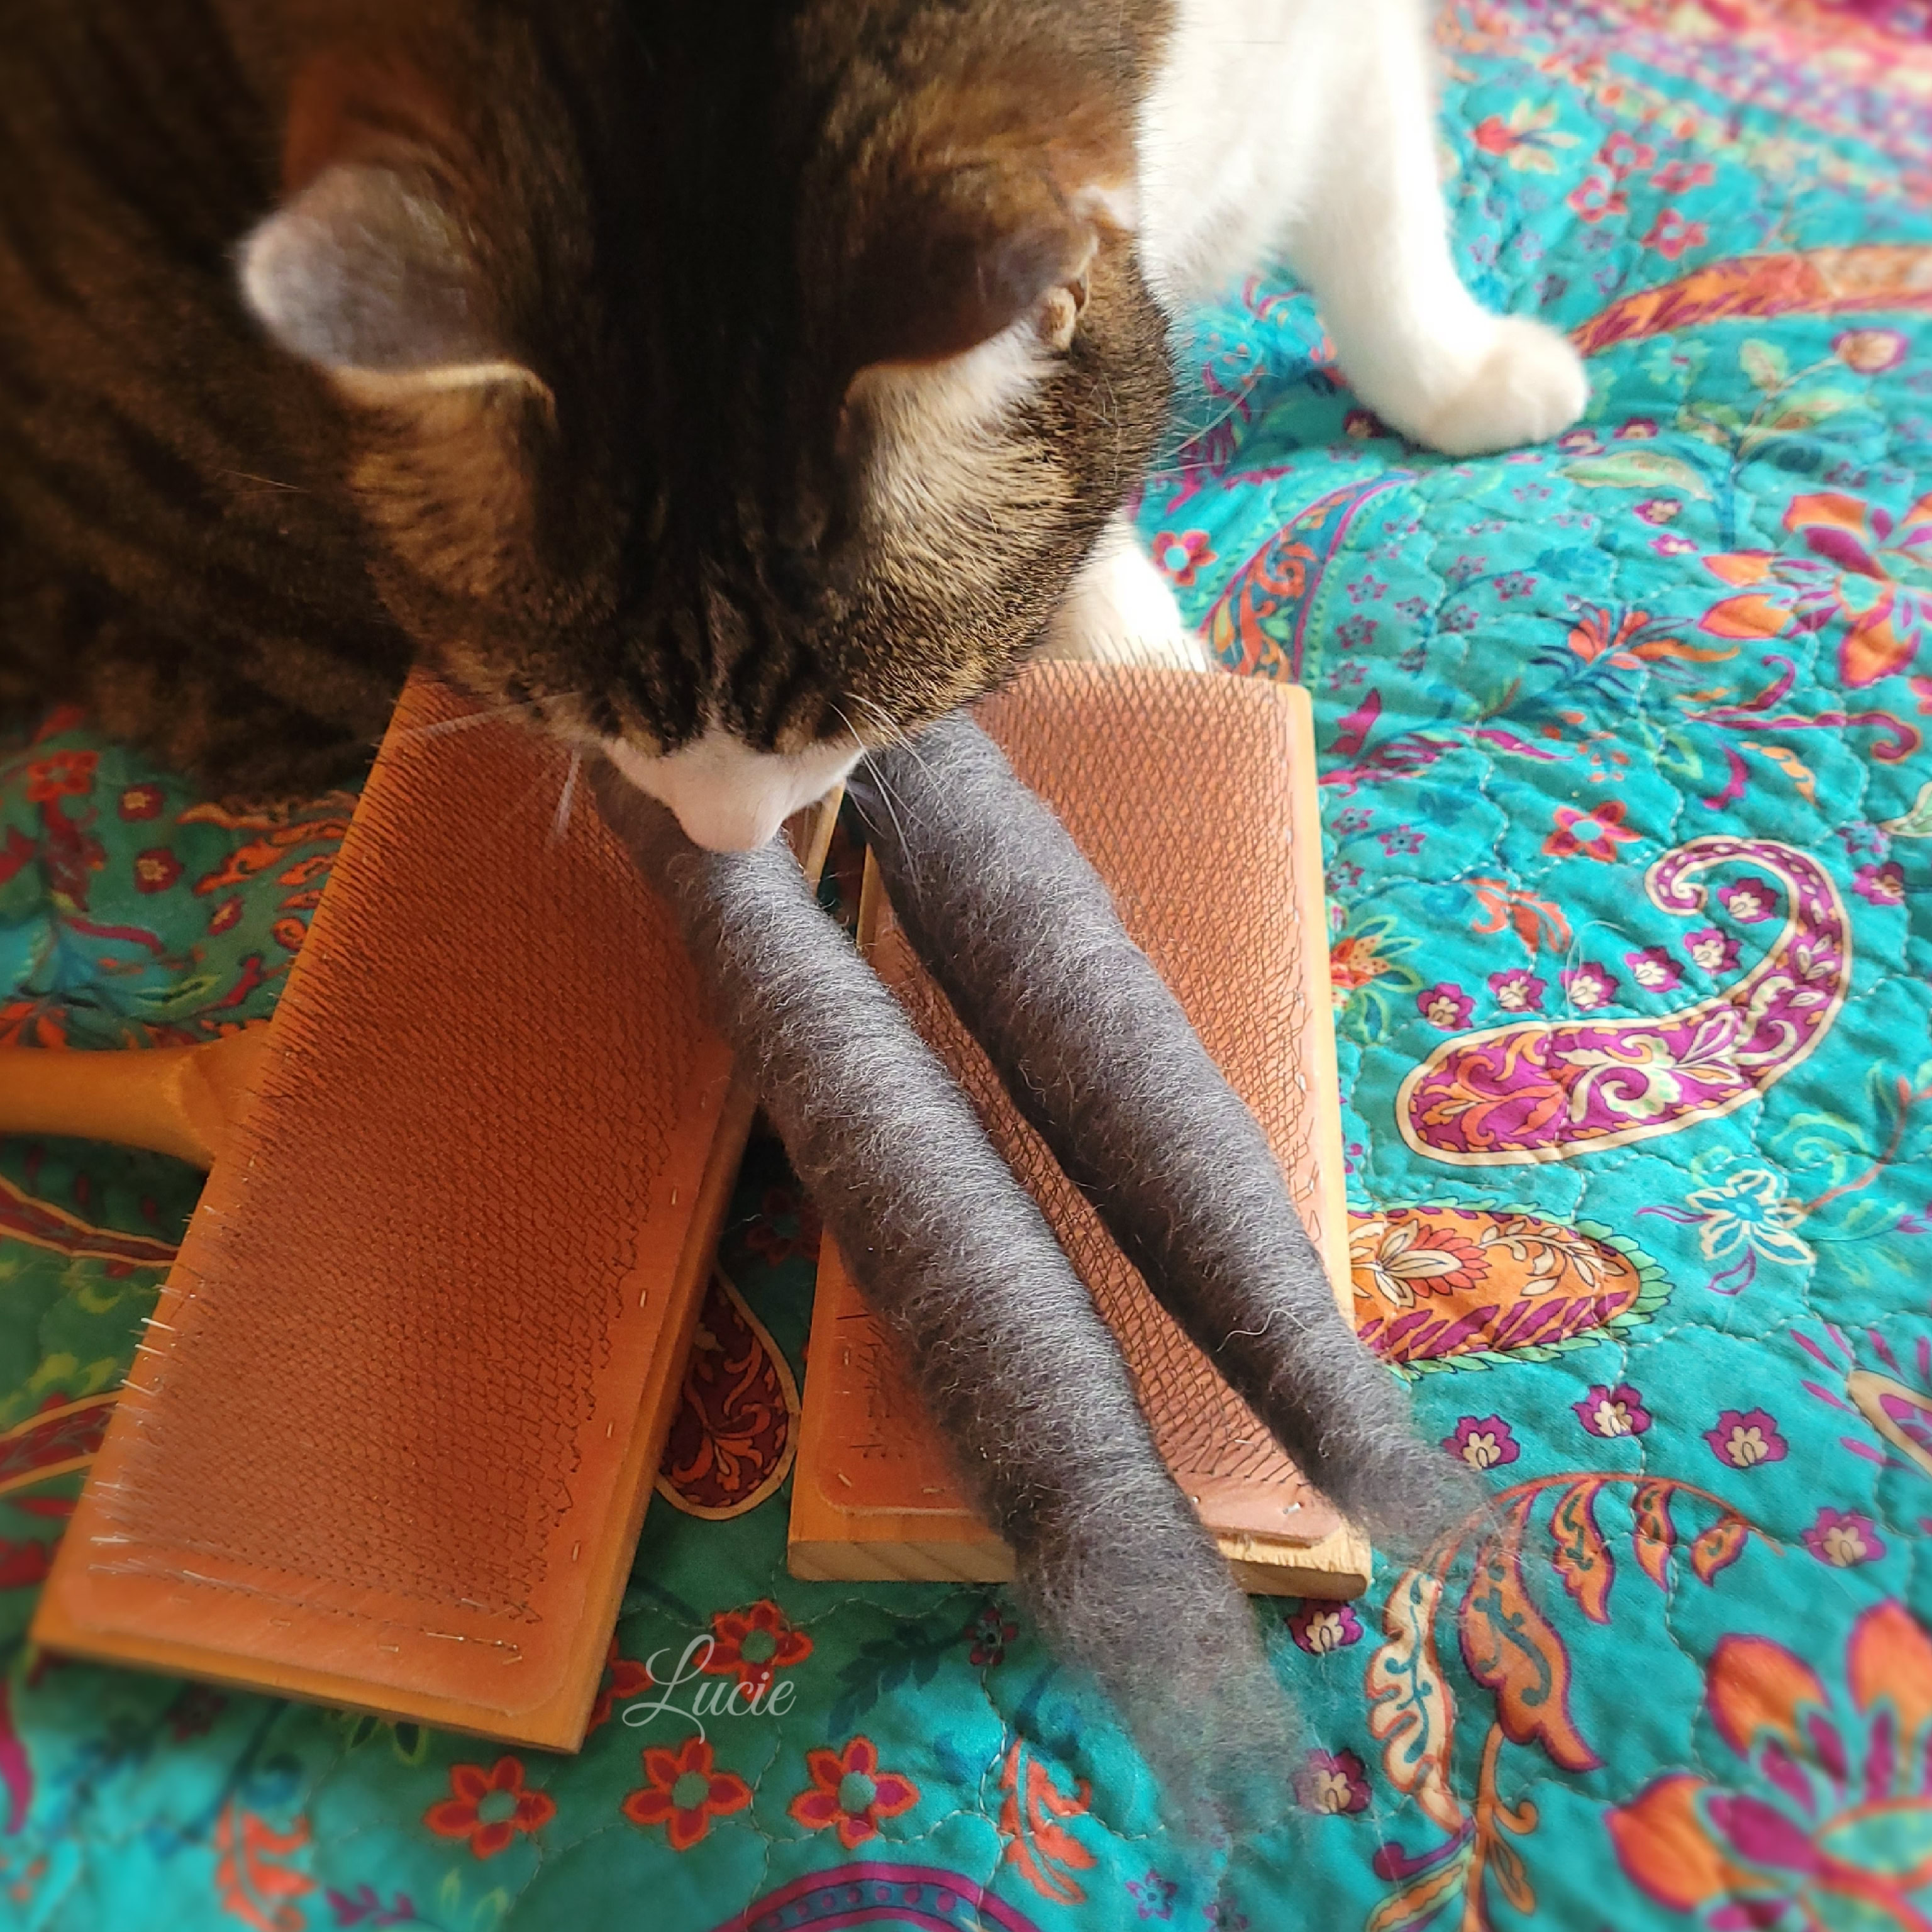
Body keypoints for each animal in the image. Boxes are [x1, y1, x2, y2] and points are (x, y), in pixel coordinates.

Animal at [0, 0, 1586, 850]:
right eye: (564, 714)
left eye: (849, 719)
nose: (724, 842)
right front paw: (1153, 683)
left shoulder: (1326, 45)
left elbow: (1381, 223)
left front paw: (1461, 376)